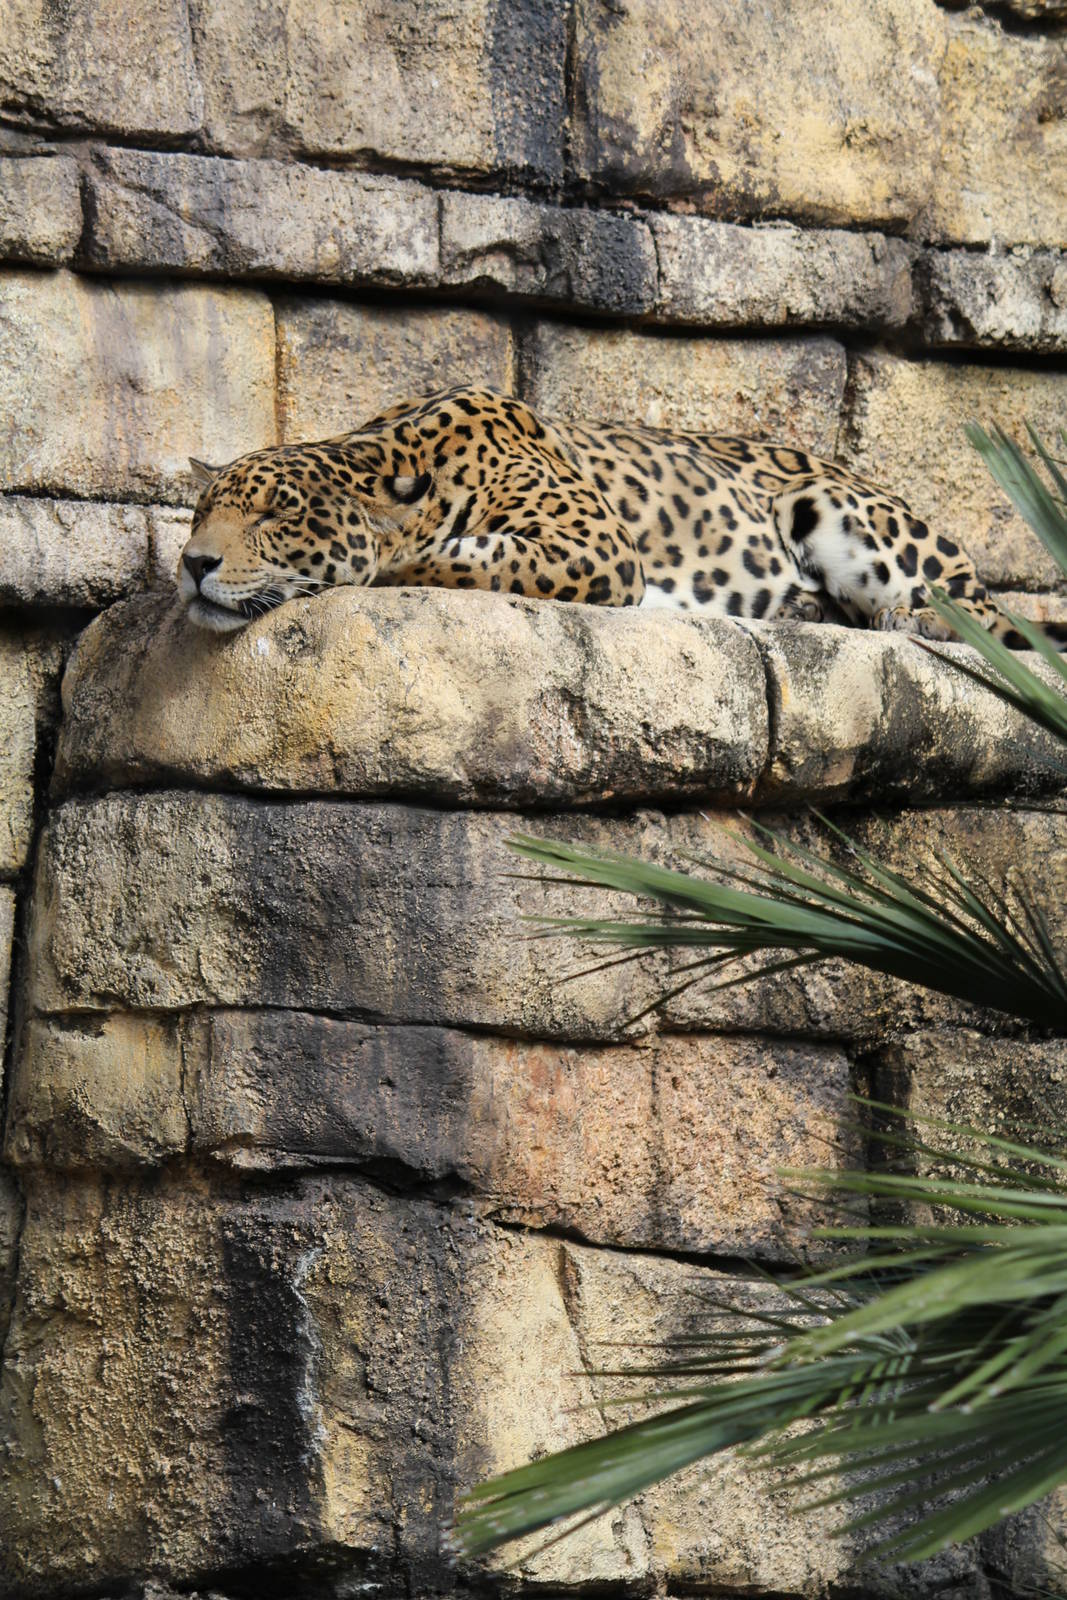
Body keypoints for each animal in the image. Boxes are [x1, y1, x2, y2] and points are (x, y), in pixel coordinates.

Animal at [178, 384, 1058, 651]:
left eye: (275, 516)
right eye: (201, 514)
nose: (192, 564)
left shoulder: (596, 547)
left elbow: (470, 555)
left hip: (835, 509)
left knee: (981, 615)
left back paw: (924, 620)